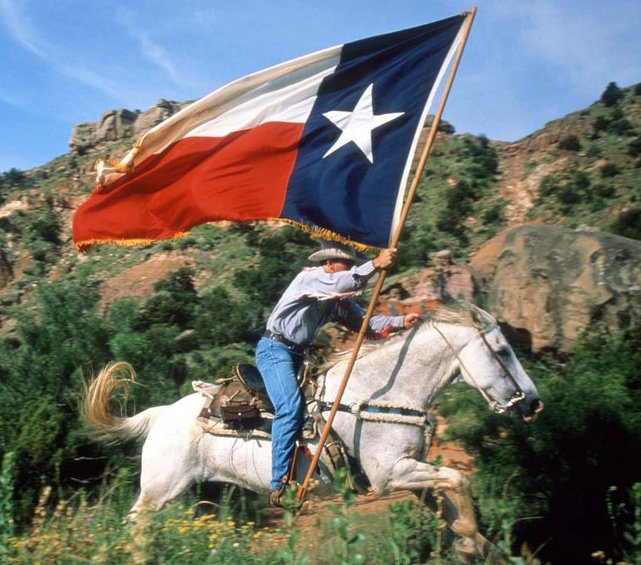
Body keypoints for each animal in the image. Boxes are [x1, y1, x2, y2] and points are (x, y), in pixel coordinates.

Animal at [81, 300, 540, 560]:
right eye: (503, 350)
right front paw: (468, 543)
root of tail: (162, 414)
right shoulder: (392, 475)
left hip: (202, 497)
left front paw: (479, 547)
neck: (377, 392)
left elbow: (452, 506)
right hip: (159, 491)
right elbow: (460, 483)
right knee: (134, 529)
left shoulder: (412, 475)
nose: (533, 402)